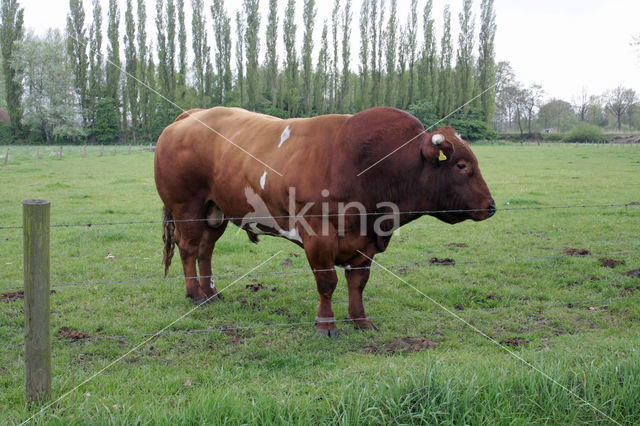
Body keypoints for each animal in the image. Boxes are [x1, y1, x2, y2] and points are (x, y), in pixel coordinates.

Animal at [155, 105, 496, 336]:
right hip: (187, 207)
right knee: (189, 248)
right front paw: (326, 324)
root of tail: (190, 115)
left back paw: (211, 293)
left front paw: (360, 320)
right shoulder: (318, 236)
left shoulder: (364, 240)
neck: (369, 166)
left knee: (206, 250)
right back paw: (195, 294)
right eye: (462, 165)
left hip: (216, 211)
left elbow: (358, 282)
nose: (491, 207)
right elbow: (327, 281)